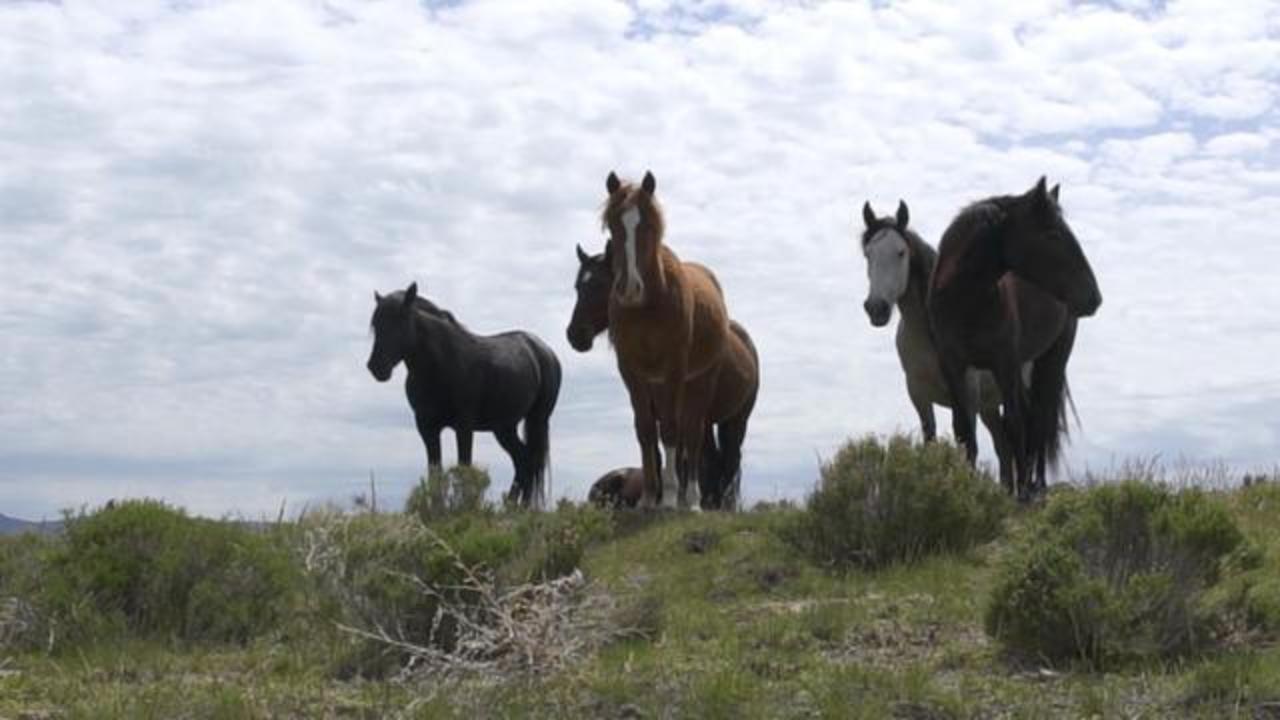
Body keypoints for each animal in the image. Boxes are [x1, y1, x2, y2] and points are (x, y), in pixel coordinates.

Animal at [363, 280, 558, 504]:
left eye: (400, 319)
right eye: (376, 325)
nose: (376, 367)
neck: (439, 364)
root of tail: (544, 351)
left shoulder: (464, 426)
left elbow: (464, 467)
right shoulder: (427, 427)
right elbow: (435, 472)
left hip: (536, 419)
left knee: (531, 461)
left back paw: (522, 507)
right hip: (504, 427)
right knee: (523, 460)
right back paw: (512, 506)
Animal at [570, 243, 757, 507]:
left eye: (599, 284)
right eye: (578, 286)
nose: (575, 334)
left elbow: (675, 450)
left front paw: (673, 498)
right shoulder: (647, 402)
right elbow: (652, 444)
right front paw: (654, 497)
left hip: (736, 419)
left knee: (729, 459)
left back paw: (721, 503)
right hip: (707, 418)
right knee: (710, 457)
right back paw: (709, 500)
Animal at [604, 169, 737, 507]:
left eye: (649, 226)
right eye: (613, 225)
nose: (629, 289)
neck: (649, 305)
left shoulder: (674, 368)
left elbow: (671, 430)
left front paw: (669, 497)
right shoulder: (631, 370)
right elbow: (646, 431)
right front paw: (649, 497)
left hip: (699, 379)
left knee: (691, 433)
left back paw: (690, 499)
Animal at [926, 178, 1105, 499]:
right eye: (1051, 233)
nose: (1094, 297)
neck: (965, 300)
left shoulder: (1004, 363)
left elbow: (1014, 425)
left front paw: (1020, 493)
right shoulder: (954, 365)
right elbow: (964, 429)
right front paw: (967, 484)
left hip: (1051, 361)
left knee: (1040, 419)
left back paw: (1037, 485)